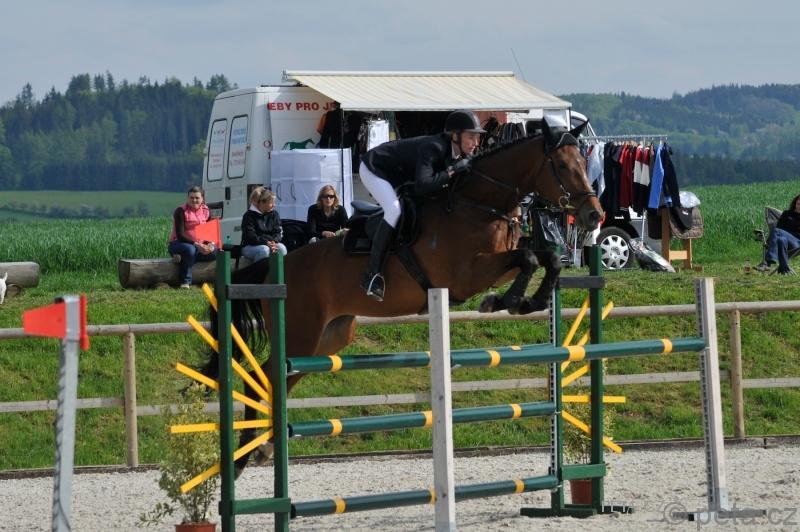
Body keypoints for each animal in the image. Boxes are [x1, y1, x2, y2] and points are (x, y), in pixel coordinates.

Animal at [202, 119, 603, 475]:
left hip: (326, 339)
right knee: (265, 373)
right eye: (562, 166)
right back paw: (245, 452)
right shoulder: (467, 275)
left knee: (280, 378)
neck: (477, 203)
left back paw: (265, 446)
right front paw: (508, 301)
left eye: (584, 163)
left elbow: (546, 257)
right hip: (301, 333)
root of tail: (276, 267)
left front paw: (531, 301)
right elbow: (530, 257)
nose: (594, 215)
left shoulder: (496, 263)